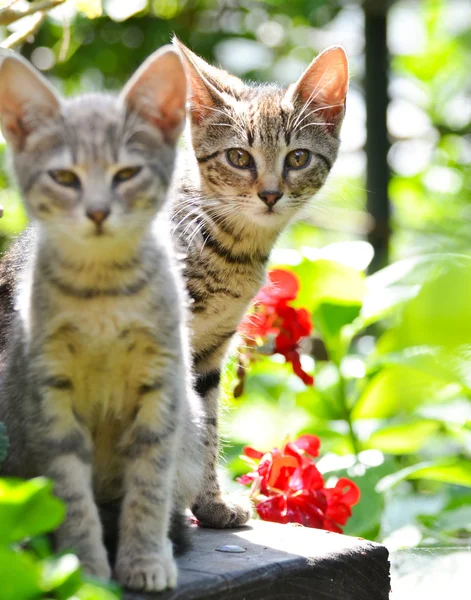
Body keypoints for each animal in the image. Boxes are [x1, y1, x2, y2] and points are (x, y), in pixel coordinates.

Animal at [0, 47, 203, 592]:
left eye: (126, 174)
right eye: (65, 178)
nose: (96, 212)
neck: (103, 291)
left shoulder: (163, 388)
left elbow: (150, 487)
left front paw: (145, 559)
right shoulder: (49, 396)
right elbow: (70, 496)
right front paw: (85, 572)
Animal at [172, 39, 350, 528]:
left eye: (298, 158)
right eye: (238, 157)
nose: (270, 194)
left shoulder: (209, 351)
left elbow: (205, 427)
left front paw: (209, 502)